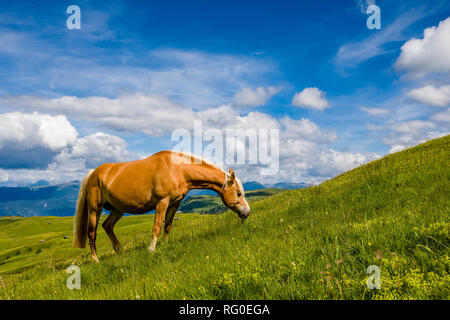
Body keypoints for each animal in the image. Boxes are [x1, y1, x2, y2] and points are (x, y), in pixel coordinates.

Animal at [72, 151, 251, 262]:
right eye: (239, 194)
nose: (247, 212)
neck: (178, 169)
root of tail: (93, 173)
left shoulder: (174, 203)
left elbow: (168, 225)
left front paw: (165, 245)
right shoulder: (162, 202)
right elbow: (157, 226)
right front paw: (151, 250)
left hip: (118, 209)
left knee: (107, 225)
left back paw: (120, 250)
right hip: (95, 209)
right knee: (92, 232)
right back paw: (95, 259)